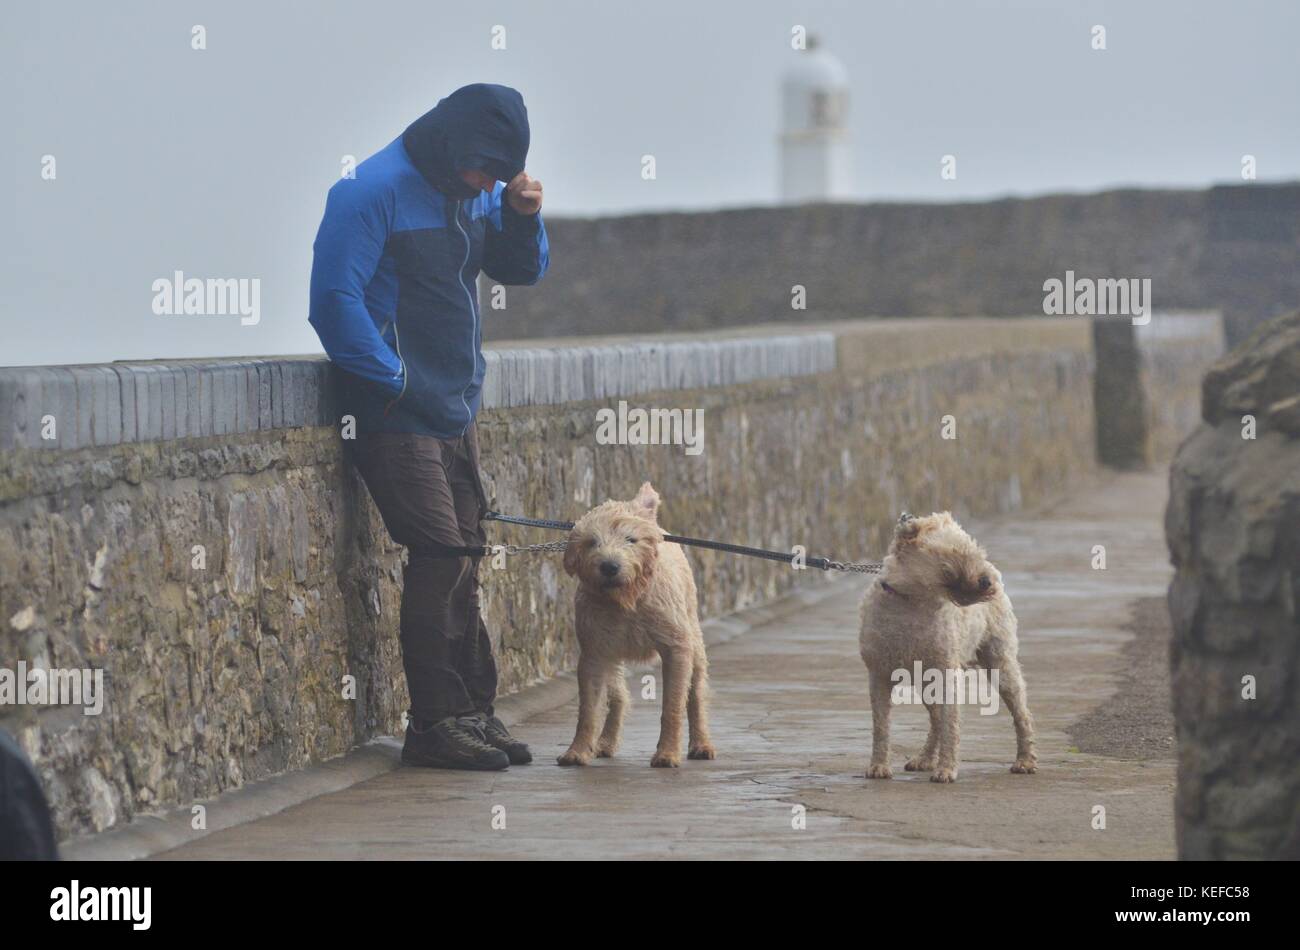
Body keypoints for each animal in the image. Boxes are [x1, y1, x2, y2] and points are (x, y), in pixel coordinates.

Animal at [556, 486, 717, 769]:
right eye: (591, 542)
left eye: (630, 539)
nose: (609, 566)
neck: (627, 601)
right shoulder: (594, 652)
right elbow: (589, 709)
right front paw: (577, 751)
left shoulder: (676, 647)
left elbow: (673, 704)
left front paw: (667, 753)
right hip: (611, 655)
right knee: (618, 694)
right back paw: (605, 742)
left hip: (693, 635)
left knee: (696, 691)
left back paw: (701, 744)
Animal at [863, 517, 1034, 784]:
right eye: (955, 552)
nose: (987, 582)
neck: (910, 600)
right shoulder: (878, 673)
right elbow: (881, 725)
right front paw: (879, 766)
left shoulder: (946, 673)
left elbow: (951, 723)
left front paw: (946, 769)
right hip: (925, 680)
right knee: (935, 718)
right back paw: (924, 759)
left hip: (1000, 662)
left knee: (1020, 712)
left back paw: (1025, 761)